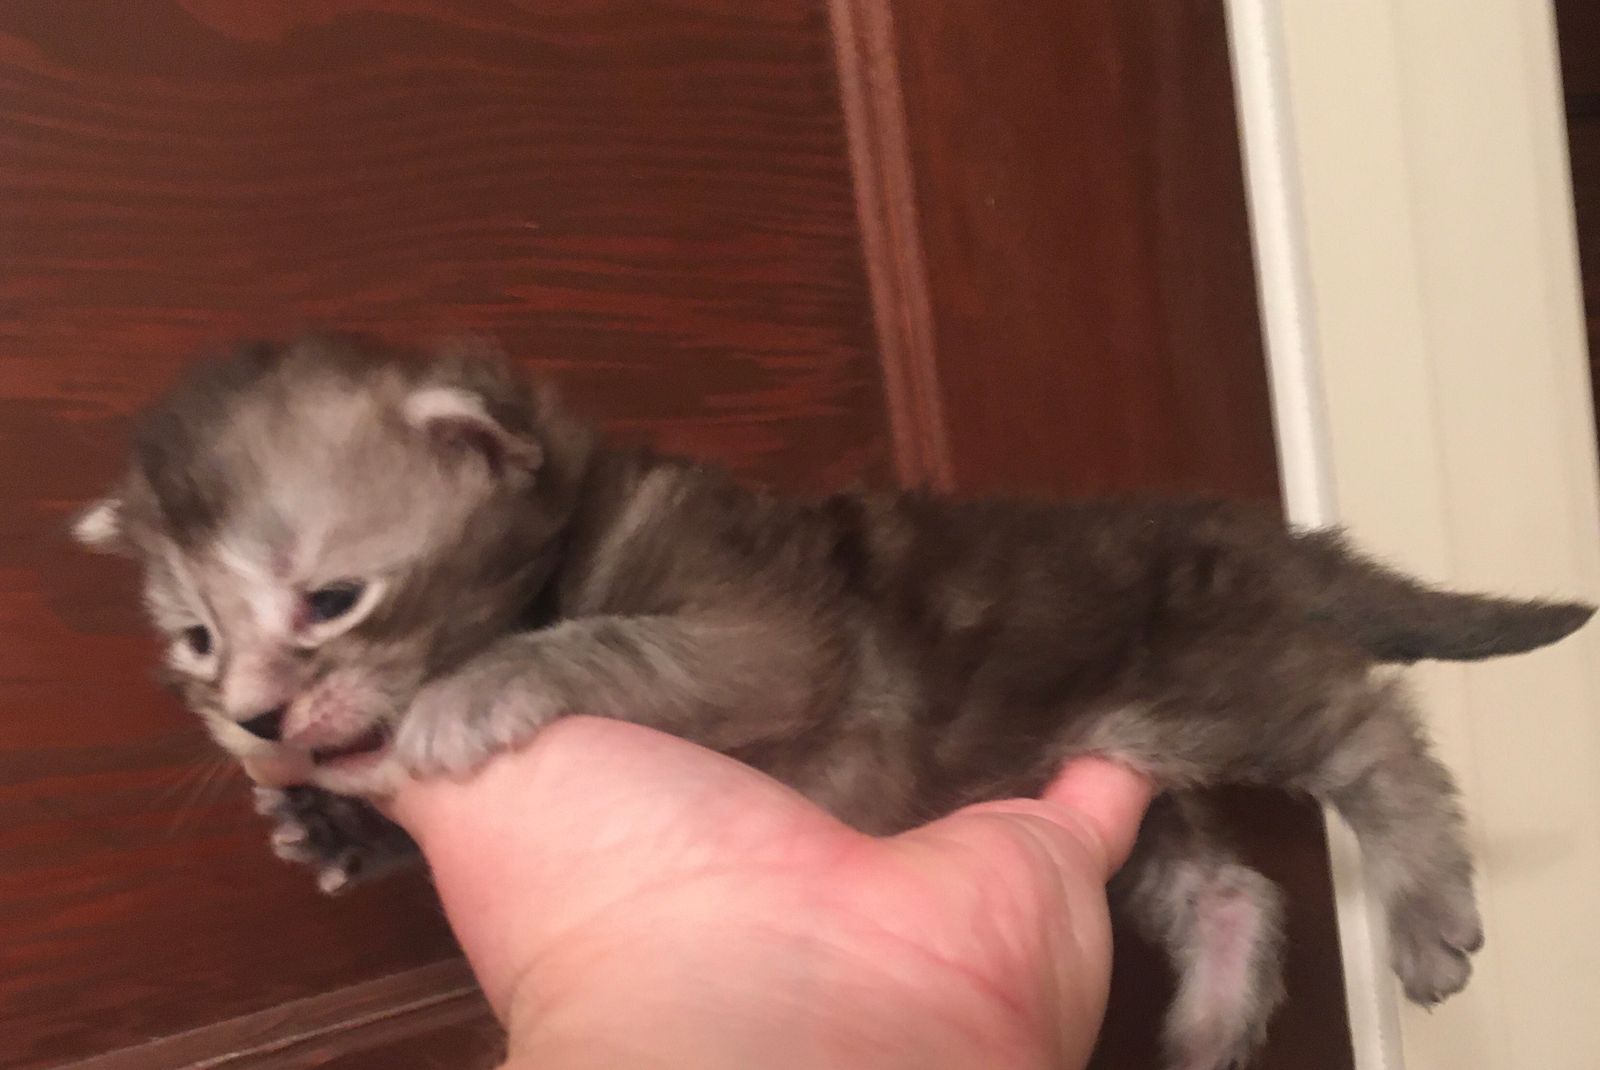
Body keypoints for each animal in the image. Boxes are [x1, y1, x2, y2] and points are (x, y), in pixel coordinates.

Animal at [73, 334, 1593, 1070]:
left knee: (1370, 728)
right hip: (1092, 767)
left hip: (1215, 682)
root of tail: (1249, 526)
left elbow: (600, 646)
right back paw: (1210, 1019)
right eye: (195, 638)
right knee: (1231, 885)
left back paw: (1426, 912)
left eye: (329, 597)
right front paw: (331, 828)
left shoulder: (764, 638)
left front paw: (471, 694)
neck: (571, 535)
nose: (252, 719)